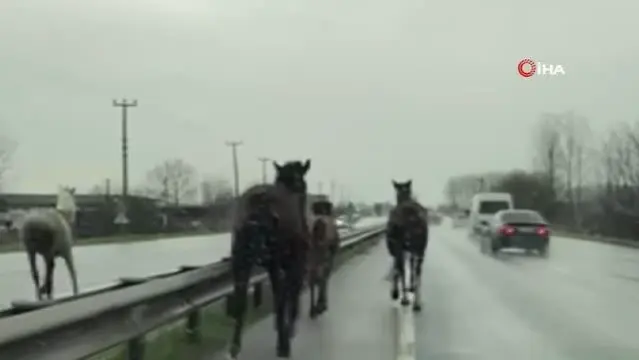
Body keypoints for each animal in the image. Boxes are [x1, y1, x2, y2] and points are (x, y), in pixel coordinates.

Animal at [229, 160, 312, 358]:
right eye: (303, 185)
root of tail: (261, 203)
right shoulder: (293, 263)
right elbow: (288, 293)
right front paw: (287, 331)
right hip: (275, 260)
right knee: (280, 297)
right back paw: (283, 345)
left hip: (240, 258)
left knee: (240, 300)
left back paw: (235, 346)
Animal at [388, 180, 428, 312]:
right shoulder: (412, 250)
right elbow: (410, 265)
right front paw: (410, 287)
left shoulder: (396, 249)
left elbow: (396, 268)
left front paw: (395, 292)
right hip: (420, 248)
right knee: (418, 270)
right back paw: (417, 303)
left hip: (400, 246)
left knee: (402, 269)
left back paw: (405, 299)